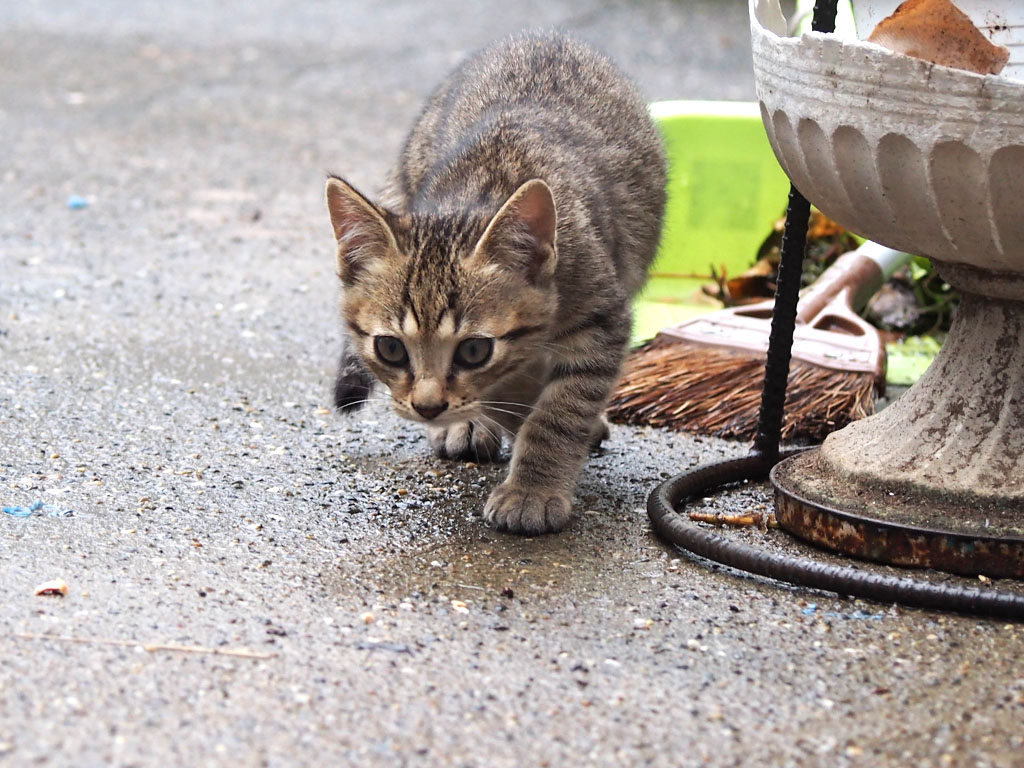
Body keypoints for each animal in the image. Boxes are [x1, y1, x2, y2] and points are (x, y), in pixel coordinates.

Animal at [323, 30, 667, 536]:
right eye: (390, 349)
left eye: (473, 350)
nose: (428, 407)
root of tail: (542, 35)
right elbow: (512, 397)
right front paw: (501, 422)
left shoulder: (603, 317)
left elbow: (559, 410)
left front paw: (533, 488)